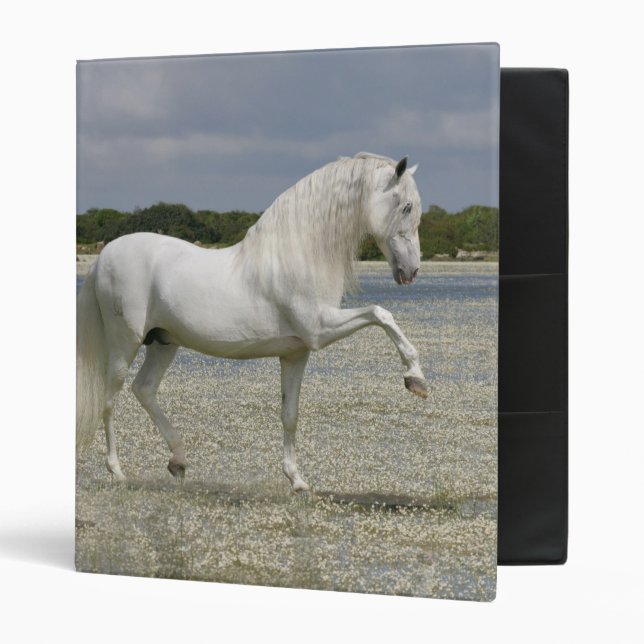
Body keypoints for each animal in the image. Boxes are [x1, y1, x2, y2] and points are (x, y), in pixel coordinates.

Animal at [76, 152, 428, 492]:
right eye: (407, 206)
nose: (411, 271)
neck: (300, 254)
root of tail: (103, 257)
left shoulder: (296, 353)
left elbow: (290, 415)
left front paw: (297, 480)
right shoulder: (320, 329)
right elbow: (381, 314)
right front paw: (416, 378)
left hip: (164, 342)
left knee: (144, 389)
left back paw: (178, 460)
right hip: (125, 344)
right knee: (110, 400)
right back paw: (117, 472)